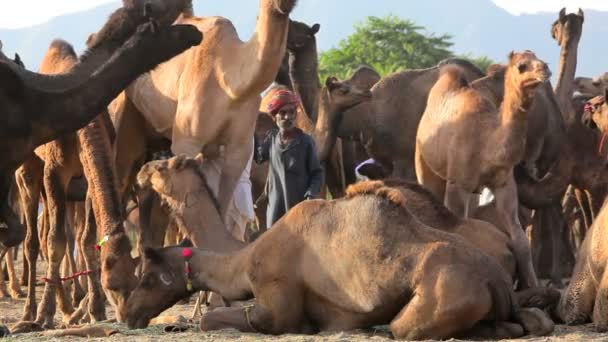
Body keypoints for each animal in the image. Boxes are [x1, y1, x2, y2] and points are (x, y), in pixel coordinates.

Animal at [121, 155, 552, 340]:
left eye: (146, 278)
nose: (127, 313)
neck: (242, 259)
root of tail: (495, 277)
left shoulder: (275, 305)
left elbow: (217, 319)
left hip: (441, 297)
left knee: (405, 328)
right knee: (528, 321)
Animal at [416, 51, 552, 292]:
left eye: (538, 57)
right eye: (522, 65)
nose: (544, 69)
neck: (487, 142)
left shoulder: (504, 184)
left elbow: (520, 240)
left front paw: (534, 287)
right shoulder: (457, 185)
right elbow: (461, 231)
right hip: (422, 159)